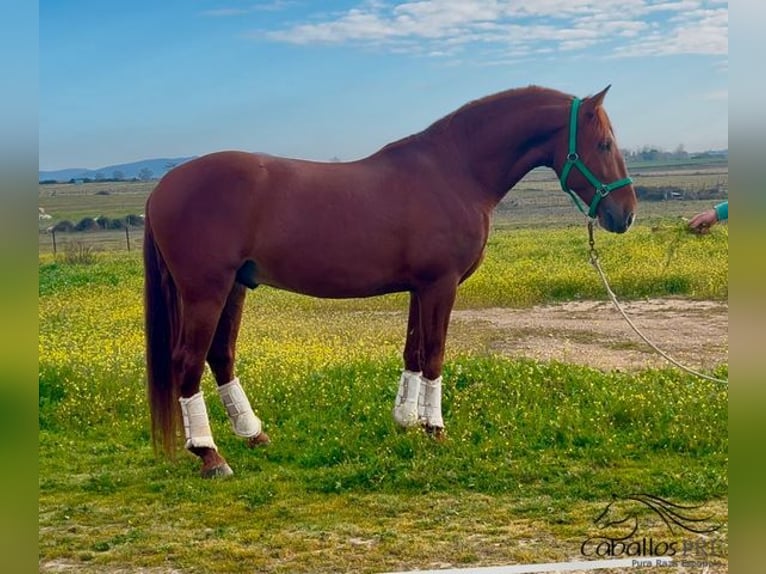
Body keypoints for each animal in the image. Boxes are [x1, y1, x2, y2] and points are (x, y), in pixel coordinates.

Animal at [142, 83, 636, 480]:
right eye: (604, 143)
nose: (625, 214)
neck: (455, 172)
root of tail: (164, 185)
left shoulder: (421, 287)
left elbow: (413, 352)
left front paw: (406, 422)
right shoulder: (440, 285)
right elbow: (434, 354)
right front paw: (436, 429)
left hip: (235, 287)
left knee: (220, 356)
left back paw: (253, 435)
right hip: (205, 291)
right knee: (187, 361)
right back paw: (210, 455)